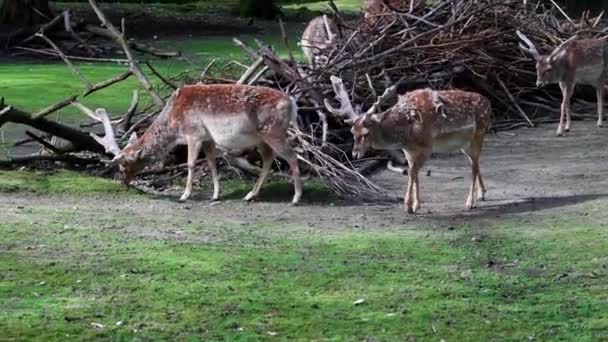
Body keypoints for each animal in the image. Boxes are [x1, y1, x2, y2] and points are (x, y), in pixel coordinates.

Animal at [84, 84, 302, 204]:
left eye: (124, 165)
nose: (123, 182)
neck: (174, 122)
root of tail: (293, 103)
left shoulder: (194, 133)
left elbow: (190, 164)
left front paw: (185, 195)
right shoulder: (208, 139)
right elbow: (212, 163)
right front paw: (215, 195)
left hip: (273, 132)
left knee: (292, 157)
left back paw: (295, 198)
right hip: (262, 139)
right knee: (268, 159)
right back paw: (250, 195)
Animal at [326, 76, 492, 212]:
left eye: (366, 133)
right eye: (352, 131)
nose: (354, 153)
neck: (407, 133)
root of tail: (488, 103)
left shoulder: (427, 146)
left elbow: (412, 173)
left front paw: (408, 206)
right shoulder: (408, 150)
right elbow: (414, 172)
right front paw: (416, 205)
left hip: (479, 135)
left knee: (474, 167)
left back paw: (470, 203)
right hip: (464, 145)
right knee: (475, 163)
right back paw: (482, 193)